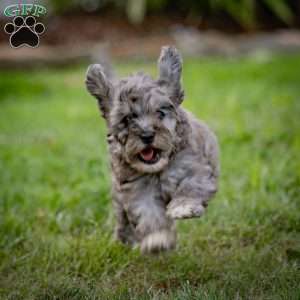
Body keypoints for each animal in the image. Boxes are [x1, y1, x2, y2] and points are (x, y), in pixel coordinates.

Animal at [85, 46, 219, 253]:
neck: (158, 169)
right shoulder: (139, 190)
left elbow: (190, 186)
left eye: (160, 113)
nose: (147, 135)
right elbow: (150, 216)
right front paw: (158, 239)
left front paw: (183, 207)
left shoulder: (196, 169)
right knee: (123, 221)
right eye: (127, 119)